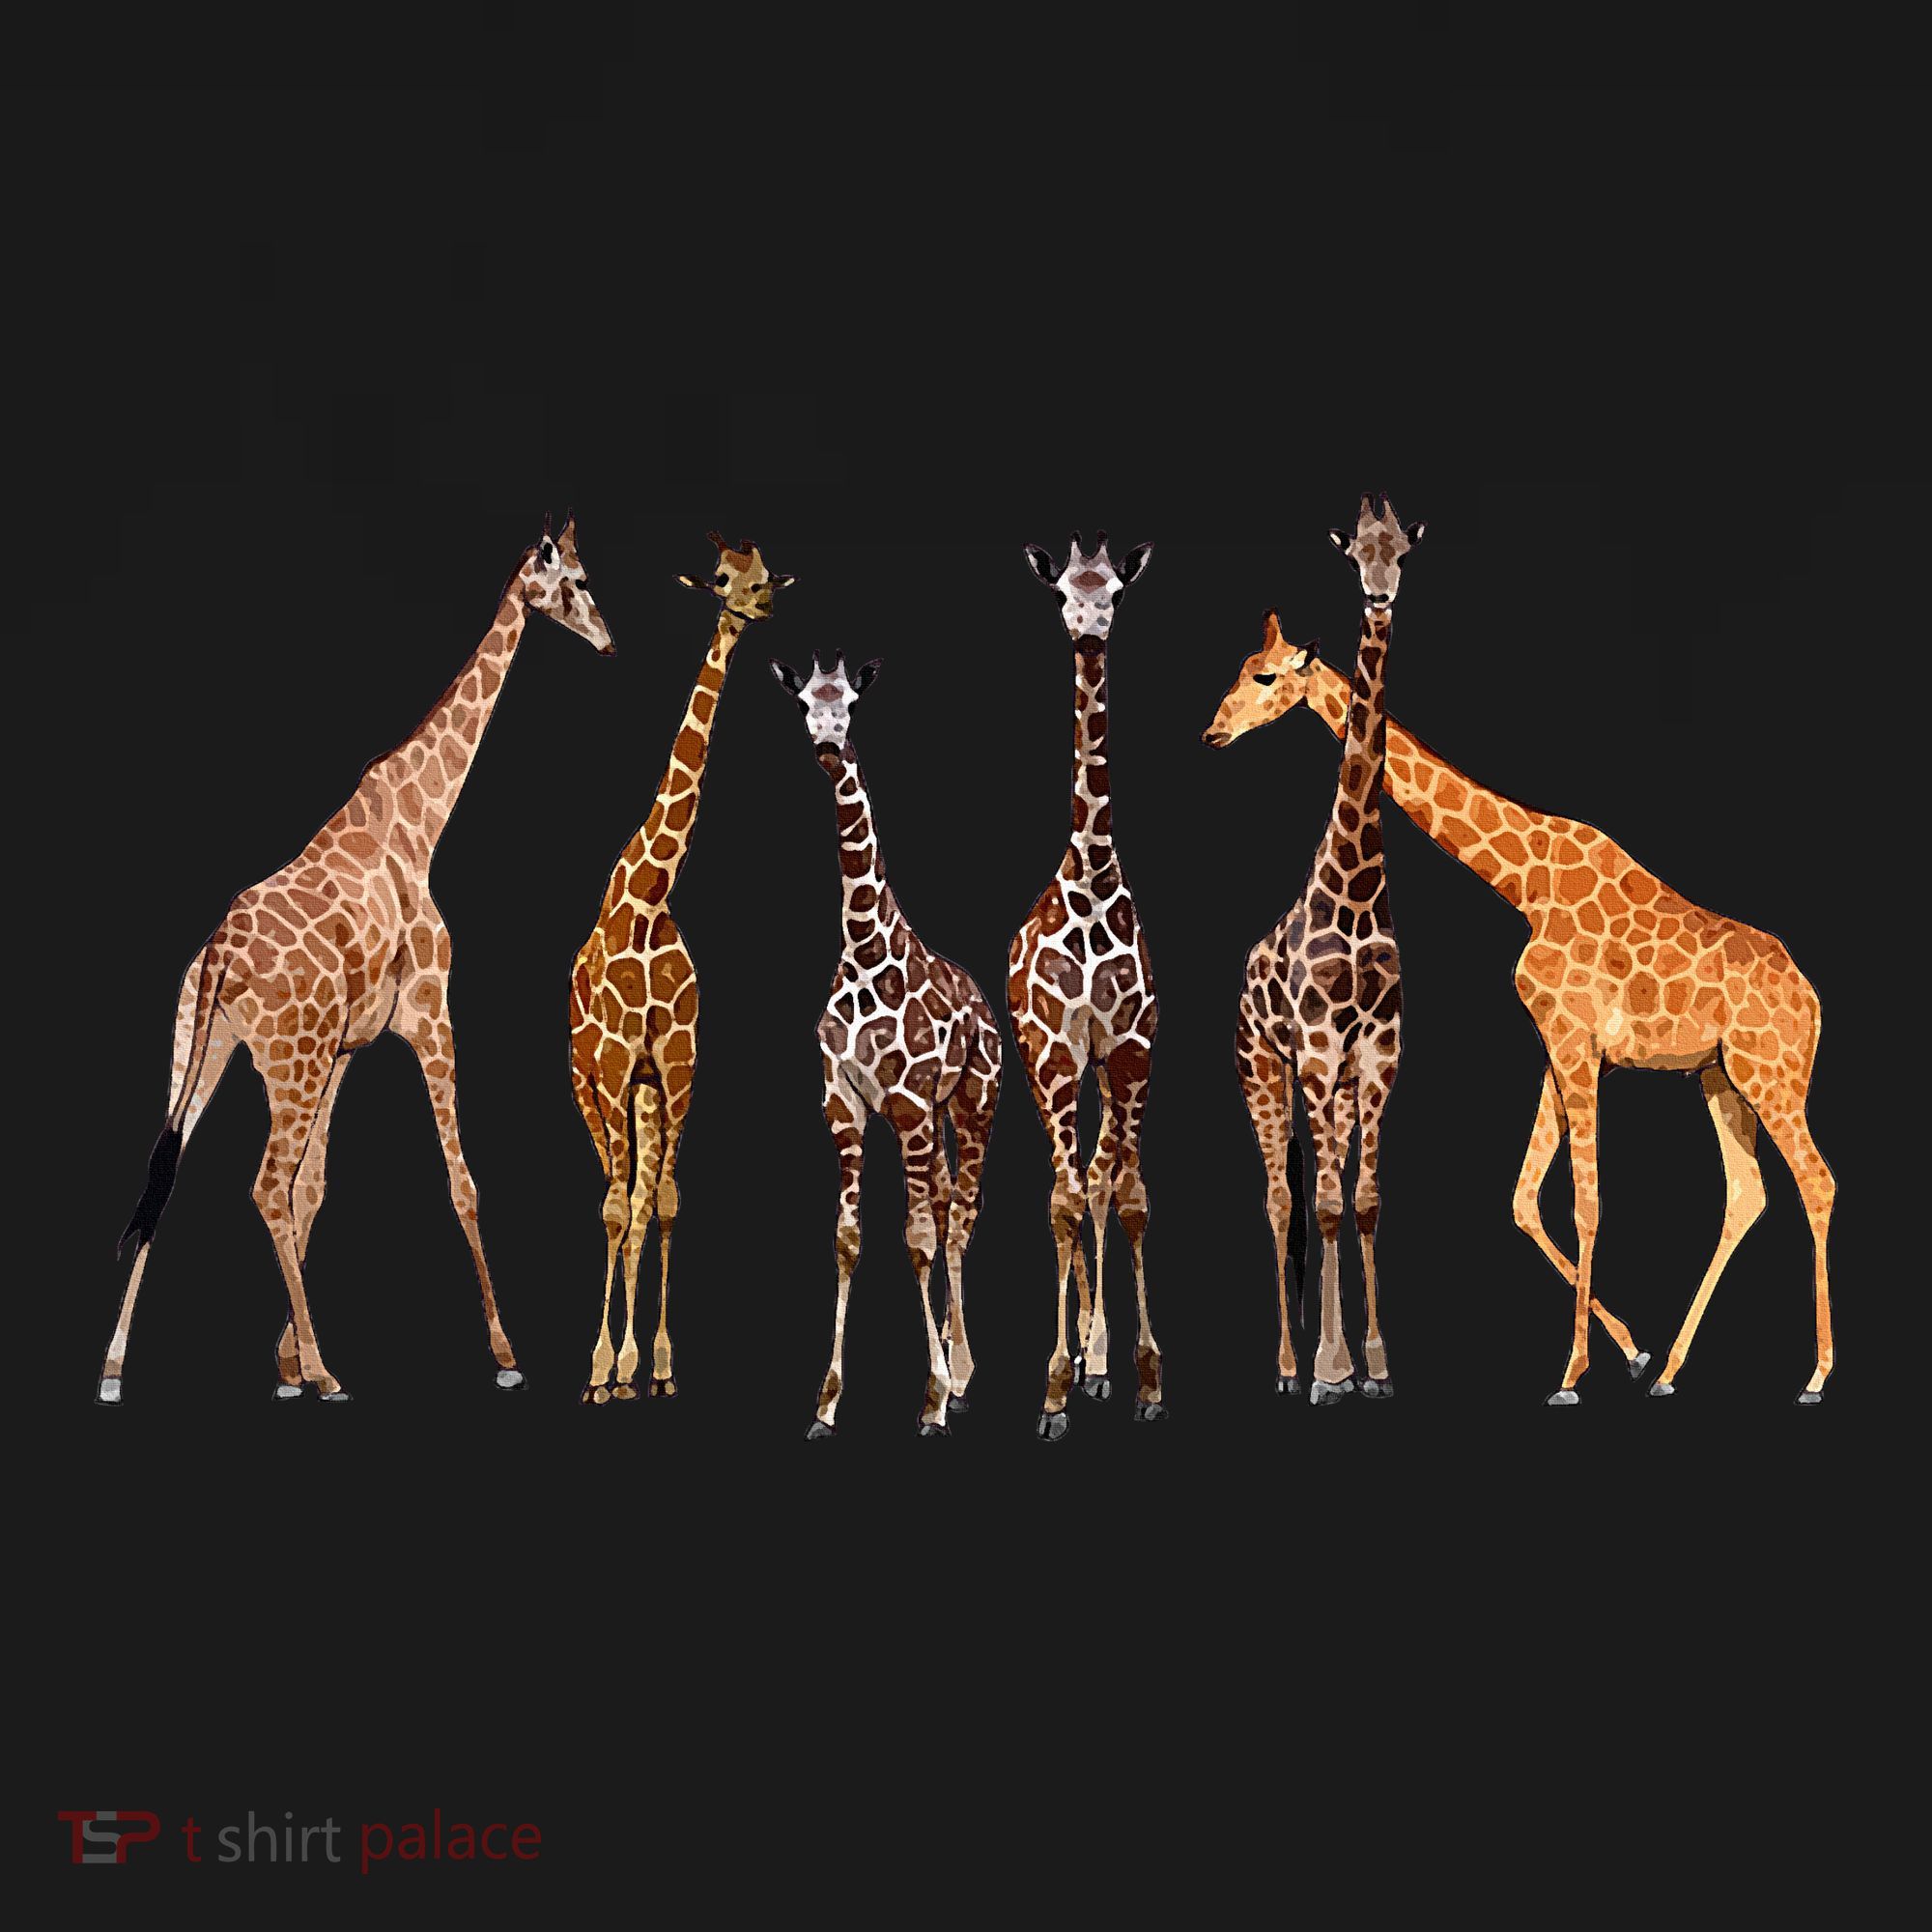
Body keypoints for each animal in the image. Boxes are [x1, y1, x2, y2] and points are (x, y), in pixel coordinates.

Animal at [101, 517, 615, 1404]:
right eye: (577, 582)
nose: (610, 639)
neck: (419, 817)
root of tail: (218, 956)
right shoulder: (431, 1012)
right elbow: (460, 1181)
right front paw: (504, 1355)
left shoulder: (345, 1047)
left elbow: (316, 1189)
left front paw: (283, 1360)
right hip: (288, 1058)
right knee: (261, 1184)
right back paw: (329, 1372)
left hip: (209, 1050)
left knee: (169, 1178)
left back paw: (114, 1367)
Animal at [571, 533, 792, 1403]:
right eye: (725, 578)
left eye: (765, 575)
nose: (759, 606)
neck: (646, 896)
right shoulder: (608, 1068)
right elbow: (612, 1208)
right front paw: (603, 1367)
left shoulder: (675, 1066)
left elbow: (661, 1203)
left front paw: (657, 1365)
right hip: (590, 1087)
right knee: (612, 1196)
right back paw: (607, 1369)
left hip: (642, 1095)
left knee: (638, 1201)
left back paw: (635, 1367)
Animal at [771, 653, 1003, 1438]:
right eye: (803, 704)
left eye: (850, 702)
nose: (826, 745)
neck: (866, 947)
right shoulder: (843, 1103)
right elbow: (849, 1237)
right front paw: (825, 1402)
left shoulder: (904, 1103)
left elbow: (919, 1239)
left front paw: (931, 1397)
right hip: (936, 1115)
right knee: (947, 1205)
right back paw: (961, 1373)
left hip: (973, 1100)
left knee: (959, 1219)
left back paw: (961, 1376)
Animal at [1202, 601, 1835, 1406]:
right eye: (1239, 668)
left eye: (1263, 675)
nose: (1212, 731)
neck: (1524, 881)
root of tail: (1811, 999)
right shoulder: (1559, 1047)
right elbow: (1523, 1199)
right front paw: (1628, 1351)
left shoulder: (1576, 1043)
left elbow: (1586, 1202)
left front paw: (1570, 1374)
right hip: (1720, 1077)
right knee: (1747, 1193)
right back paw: (1671, 1370)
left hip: (1770, 1073)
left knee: (1817, 1182)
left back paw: (1816, 1374)